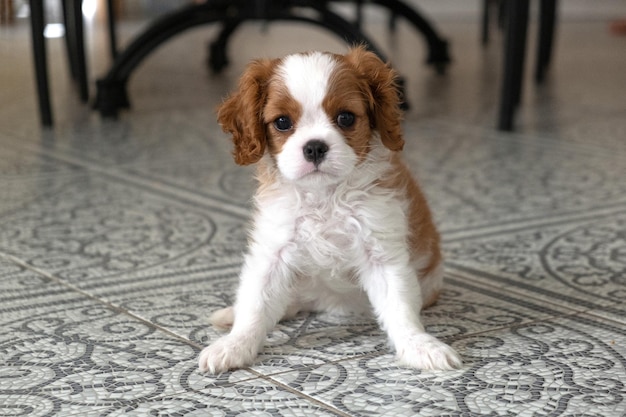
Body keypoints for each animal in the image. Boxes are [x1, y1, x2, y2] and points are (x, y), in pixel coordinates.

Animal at [197, 46, 460, 374]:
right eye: (282, 122)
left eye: (345, 118)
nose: (314, 147)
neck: (325, 197)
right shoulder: (273, 251)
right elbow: (256, 304)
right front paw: (235, 344)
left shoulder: (382, 252)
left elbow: (399, 306)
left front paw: (419, 345)